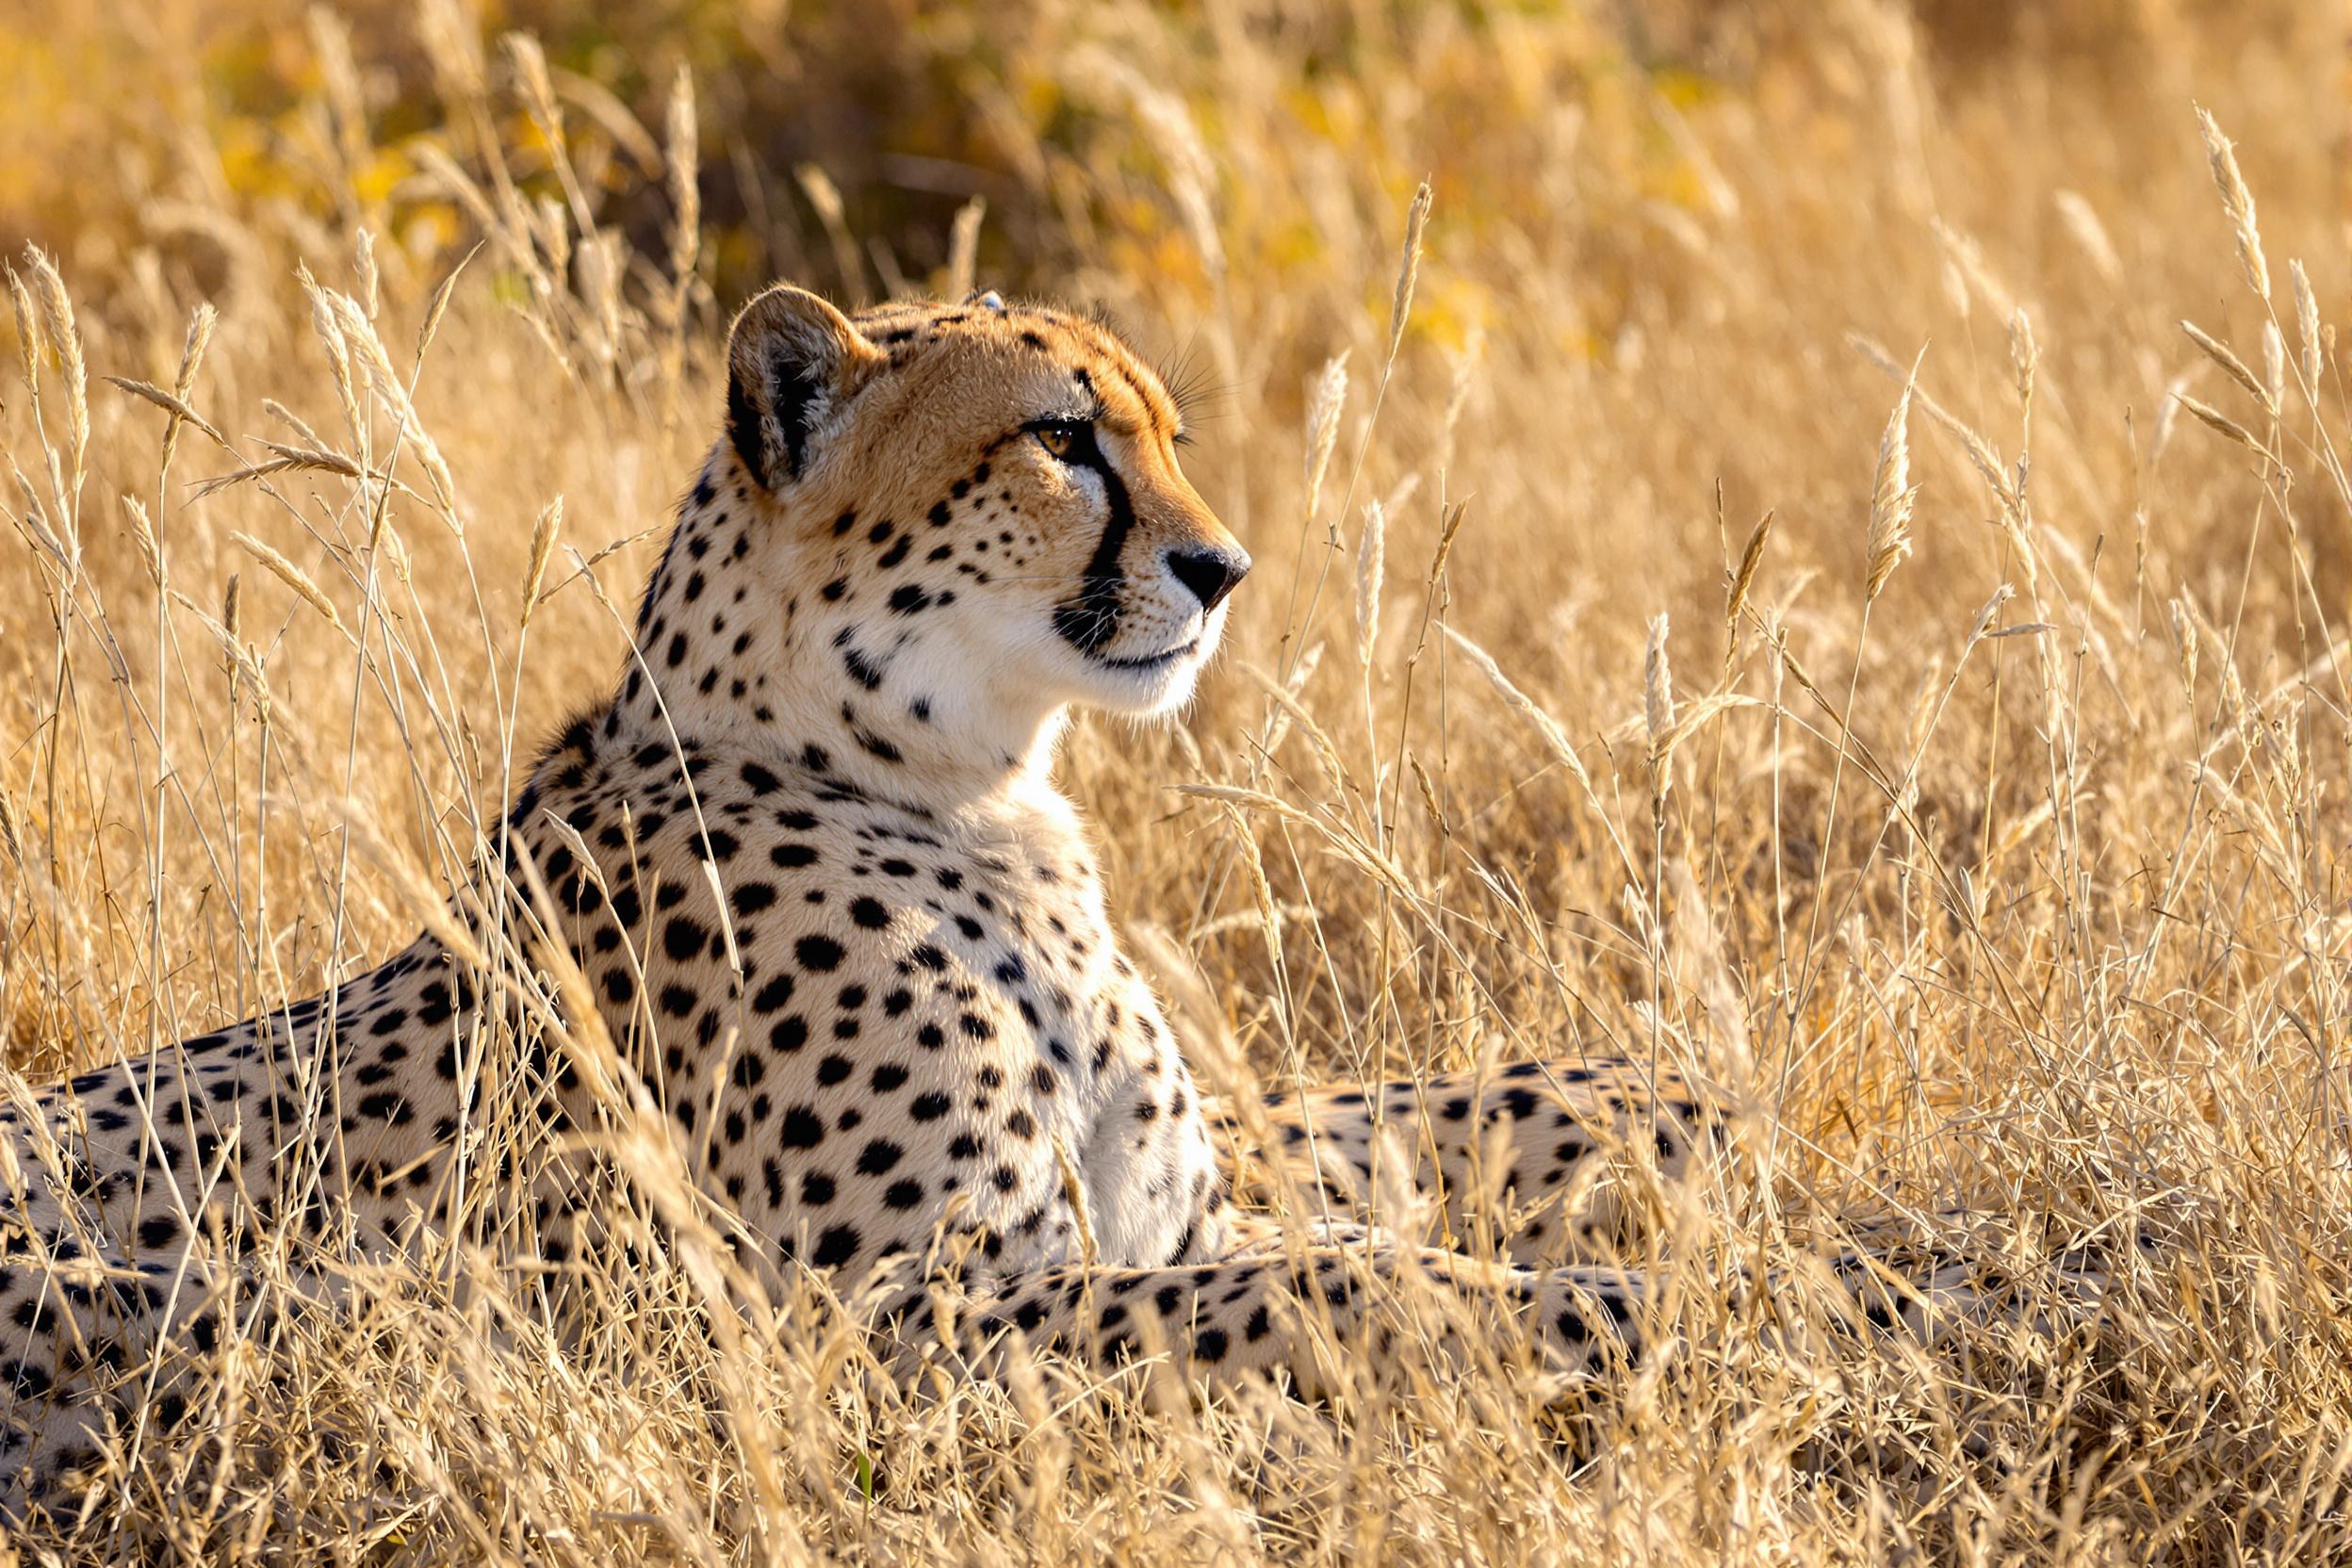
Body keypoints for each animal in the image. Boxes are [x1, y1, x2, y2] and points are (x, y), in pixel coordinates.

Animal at [0, 282, 2060, 1504]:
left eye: (1163, 430)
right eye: (1062, 438)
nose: (1226, 567)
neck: (966, 792)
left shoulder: (1162, 1204)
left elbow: (1396, 1138)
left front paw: (1776, 1200)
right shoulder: (892, 1324)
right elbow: (1344, 1273)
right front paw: (1685, 1298)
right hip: (269, 1299)